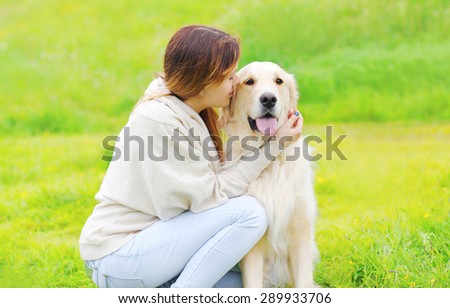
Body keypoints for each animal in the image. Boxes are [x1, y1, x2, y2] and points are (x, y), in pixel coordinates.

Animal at [220, 61, 318, 288]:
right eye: (249, 81)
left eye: (278, 81)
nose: (268, 99)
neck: (272, 162)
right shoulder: (252, 250)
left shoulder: (301, 235)